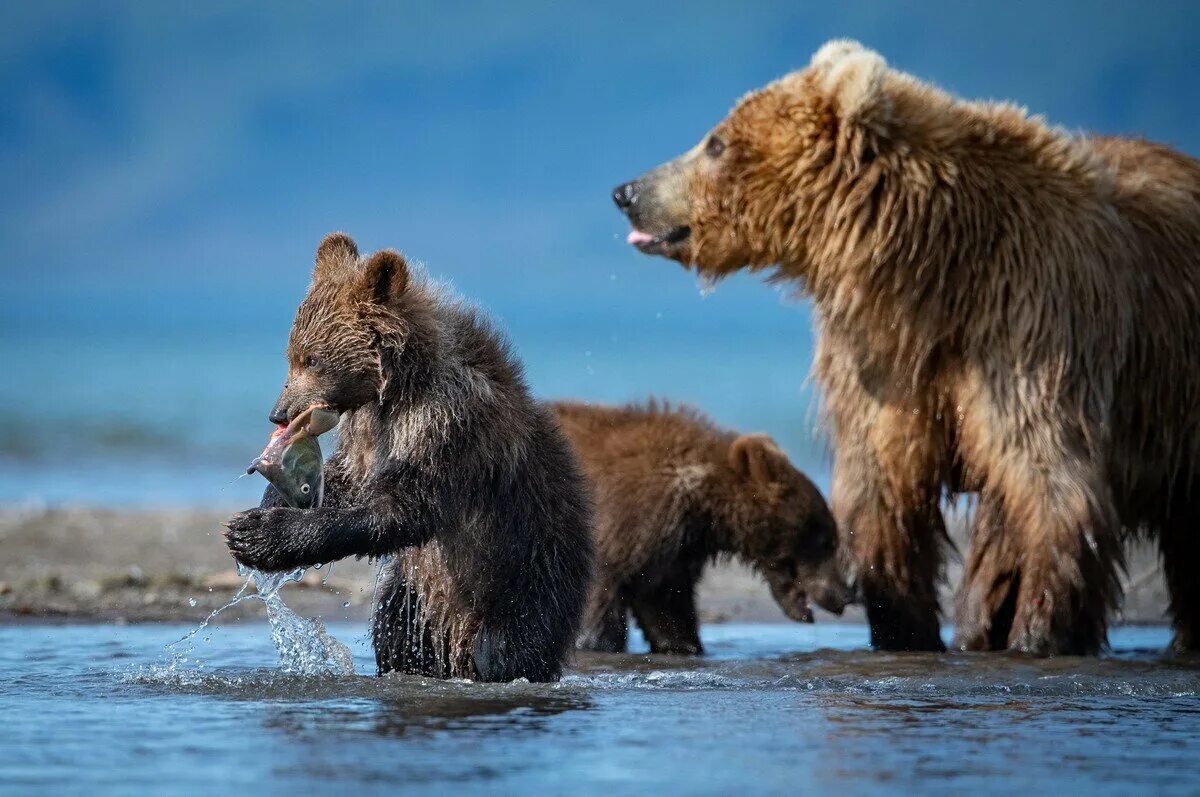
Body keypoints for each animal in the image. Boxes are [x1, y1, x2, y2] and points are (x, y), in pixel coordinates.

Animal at [614, 40, 1200, 652]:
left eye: (716, 141)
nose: (626, 191)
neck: (934, 276)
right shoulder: (883, 364)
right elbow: (884, 487)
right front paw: (903, 625)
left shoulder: (1032, 324)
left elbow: (1048, 481)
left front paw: (1038, 635)